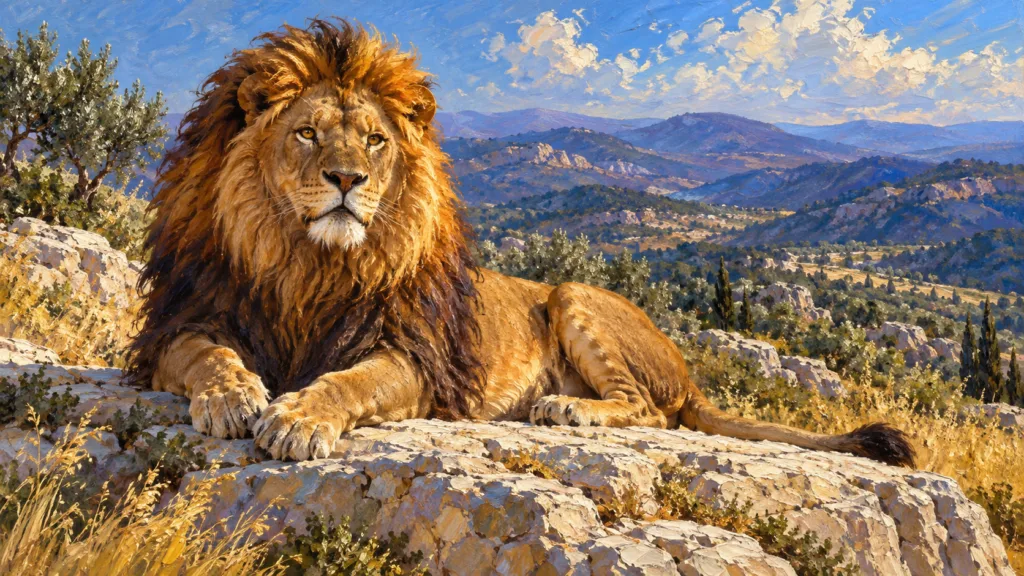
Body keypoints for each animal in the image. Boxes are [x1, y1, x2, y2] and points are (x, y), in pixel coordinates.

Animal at [127, 19, 915, 467]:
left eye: (377, 141)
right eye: (307, 133)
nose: (348, 179)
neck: (307, 263)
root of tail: (689, 375)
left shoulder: (417, 362)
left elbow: (352, 382)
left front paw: (296, 417)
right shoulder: (185, 320)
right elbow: (205, 355)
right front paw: (233, 396)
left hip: (573, 296)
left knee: (648, 406)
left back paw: (567, 409)